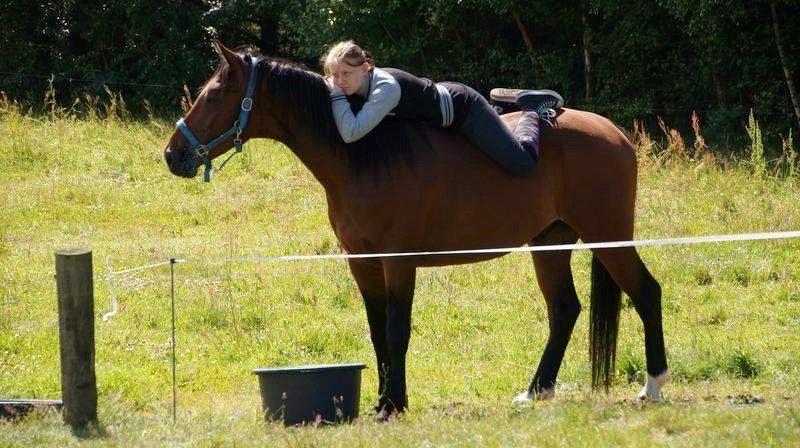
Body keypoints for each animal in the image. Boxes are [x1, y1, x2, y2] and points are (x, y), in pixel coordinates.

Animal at [162, 43, 668, 416]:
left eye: (213, 94)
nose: (173, 155)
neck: (363, 156)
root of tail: (615, 134)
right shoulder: (363, 263)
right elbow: (377, 330)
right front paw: (384, 401)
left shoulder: (398, 261)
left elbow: (397, 328)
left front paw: (394, 404)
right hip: (551, 241)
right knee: (564, 309)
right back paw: (536, 390)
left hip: (607, 235)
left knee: (646, 291)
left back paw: (653, 386)